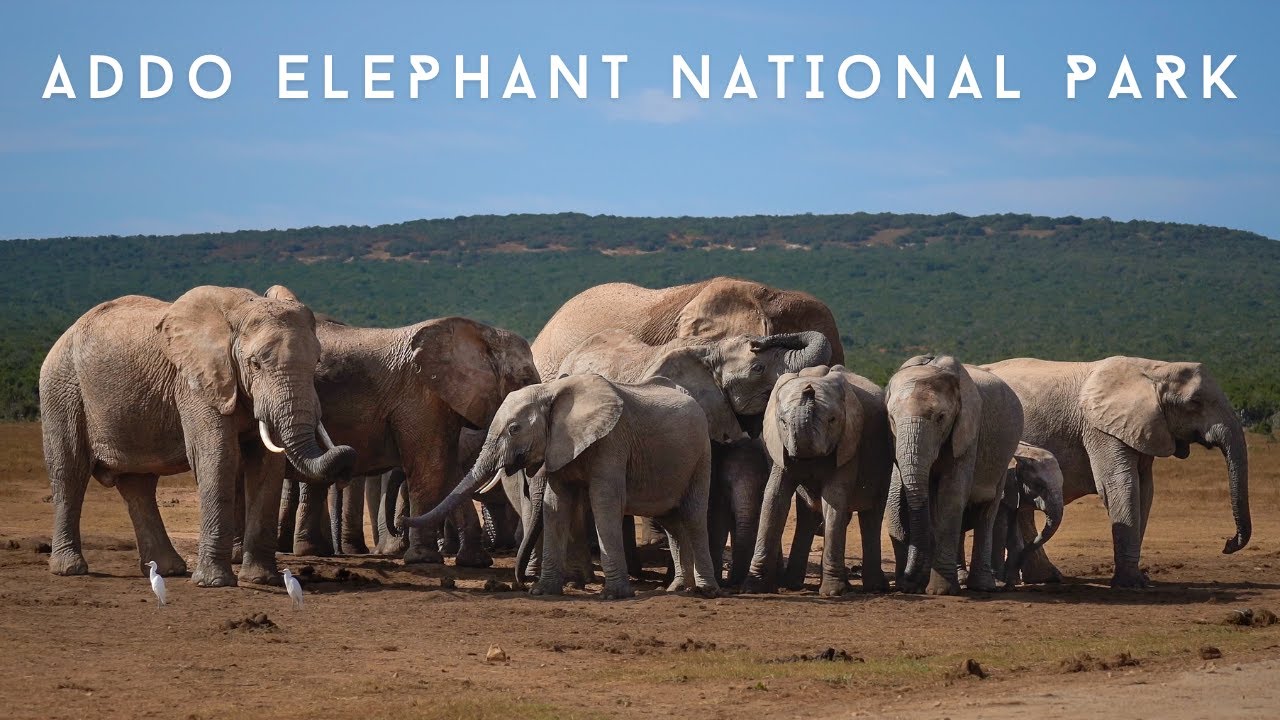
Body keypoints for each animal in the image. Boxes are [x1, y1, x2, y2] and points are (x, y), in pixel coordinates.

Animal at [40, 284, 355, 584]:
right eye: (255, 364)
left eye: (316, 362)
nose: (346, 455)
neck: (240, 311)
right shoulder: (195, 382)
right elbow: (218, 456)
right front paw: (214, 583)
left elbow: (268, 464)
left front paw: (262, 579)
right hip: (61, 387)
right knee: (70, 471)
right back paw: (70, 569)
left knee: (138, 484)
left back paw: (168, 569)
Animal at [275, 288, 540, 563]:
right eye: (524, 379)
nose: (401, 522)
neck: (482, 333)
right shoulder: (419, 397)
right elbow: (432, 467)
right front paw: (425, 559)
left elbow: (450, 472)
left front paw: (475, 562)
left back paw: (315, 551)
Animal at [404, 371, 721, 597]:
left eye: (514, 429)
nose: (519, 582)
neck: (552, 391)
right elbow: (555, 505)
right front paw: (542, 591)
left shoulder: (612, 442)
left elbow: (604, 502)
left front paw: (614, 595)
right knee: (671, 522)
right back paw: (678, 589)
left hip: (702, 454)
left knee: (693, 516)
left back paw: (706, 591)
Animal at [977, 356, 1249, 586]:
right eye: (1194, 403)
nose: (1227, 544)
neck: (1155, 369)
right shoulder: (1100, 429)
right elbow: (1120, 485)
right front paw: (1131, 583)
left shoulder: (1142, 428)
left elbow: (1145, 491)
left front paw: (1139, 578)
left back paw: (1045, 578)